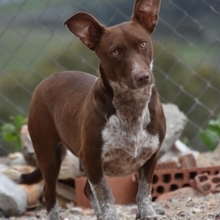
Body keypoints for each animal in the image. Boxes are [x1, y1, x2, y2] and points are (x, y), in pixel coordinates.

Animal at [20, 0, 166, 219]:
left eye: (142, 43)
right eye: (115, 52)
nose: (142, 77)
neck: (131, 106)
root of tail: (46, 80)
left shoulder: (151, 156)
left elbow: (144, 191)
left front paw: (147, 213)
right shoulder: (92, 161)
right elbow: (106, 195)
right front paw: (110, 216)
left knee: (86, 190)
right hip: (49, 155)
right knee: (50, 193)